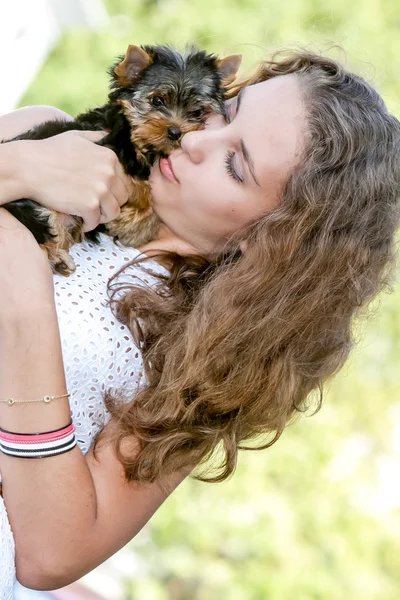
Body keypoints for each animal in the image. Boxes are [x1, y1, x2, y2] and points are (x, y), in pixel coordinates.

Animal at [2, 44, 241, 274]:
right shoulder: (114, 148)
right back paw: (56, 257)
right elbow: (142, 187)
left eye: (198, 112)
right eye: (157, 101)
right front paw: (135, 225)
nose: (175, 132)